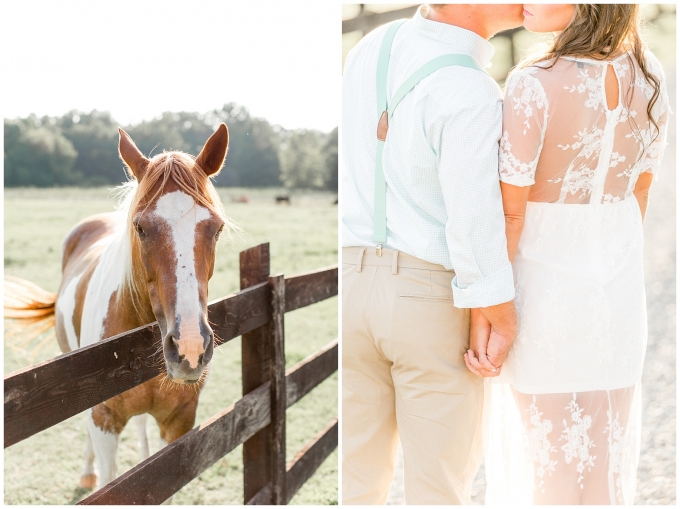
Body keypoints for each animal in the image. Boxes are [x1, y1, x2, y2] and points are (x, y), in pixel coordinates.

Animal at [4, 123, 234, 492]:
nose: (190, 348)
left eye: (217, 227)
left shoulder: (179, 422)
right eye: (140, 227)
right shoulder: (104, 421)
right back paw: (87, 473)